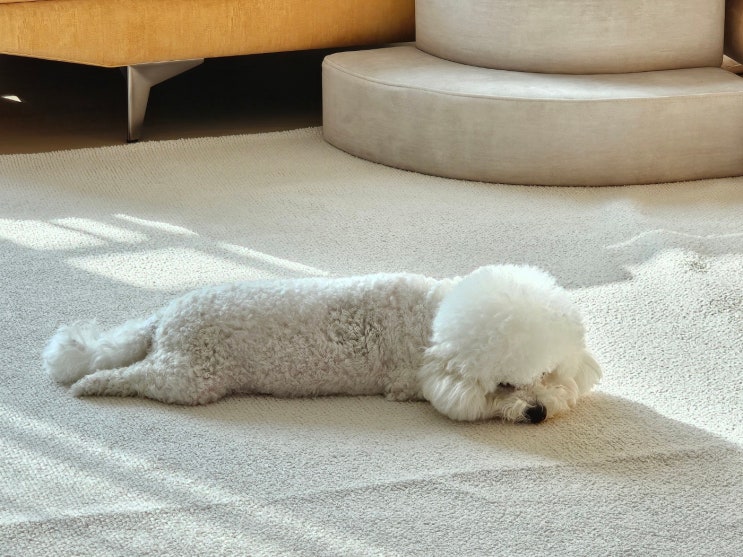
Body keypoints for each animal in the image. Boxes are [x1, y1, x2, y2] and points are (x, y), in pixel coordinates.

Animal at [43, 264, 601, 423]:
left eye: (546, 374)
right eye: (504, 385)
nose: (537, 413)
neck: (435, 316)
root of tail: (166, 316)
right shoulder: (412, 380)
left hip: (182, 365)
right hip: (191, 376)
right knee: (132, 376)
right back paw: (92, 384)